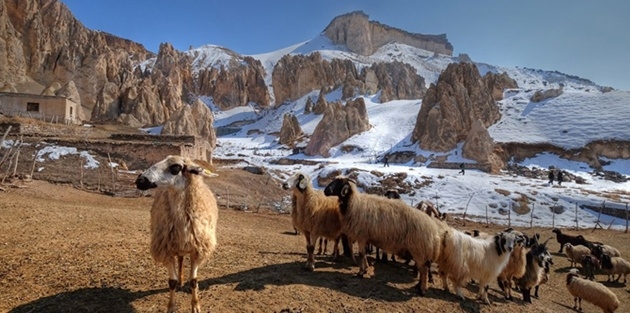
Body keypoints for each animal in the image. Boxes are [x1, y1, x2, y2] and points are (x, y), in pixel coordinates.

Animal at [136, 154, 220, 312]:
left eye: (175, 167)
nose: (140, 180)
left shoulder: (198, 251)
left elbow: (193, 281)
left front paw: (196, 306)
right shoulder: (166, 251)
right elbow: (172, 282)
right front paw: (170, 307)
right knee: (180, 260)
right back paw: (181, 280)